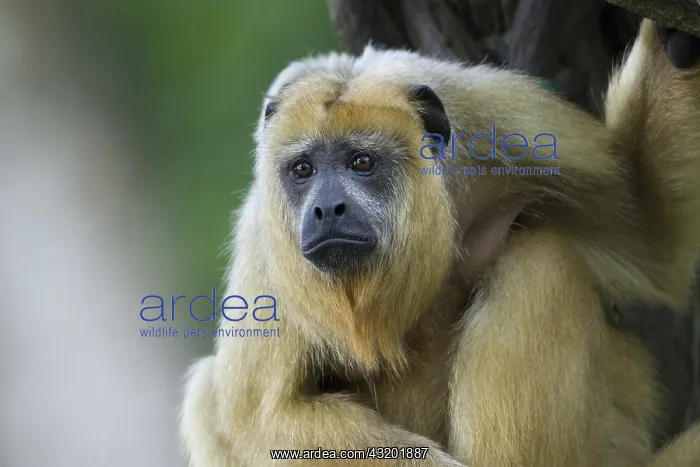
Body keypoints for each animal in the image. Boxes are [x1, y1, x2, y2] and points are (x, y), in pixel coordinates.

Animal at [179, 19, 700, 466]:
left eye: (361, 162)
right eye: (302, 170)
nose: (326, 209)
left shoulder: (507, 121)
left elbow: (647, 233)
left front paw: (677, 38)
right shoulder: (265, 235)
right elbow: (262, 417)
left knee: (539, 260)